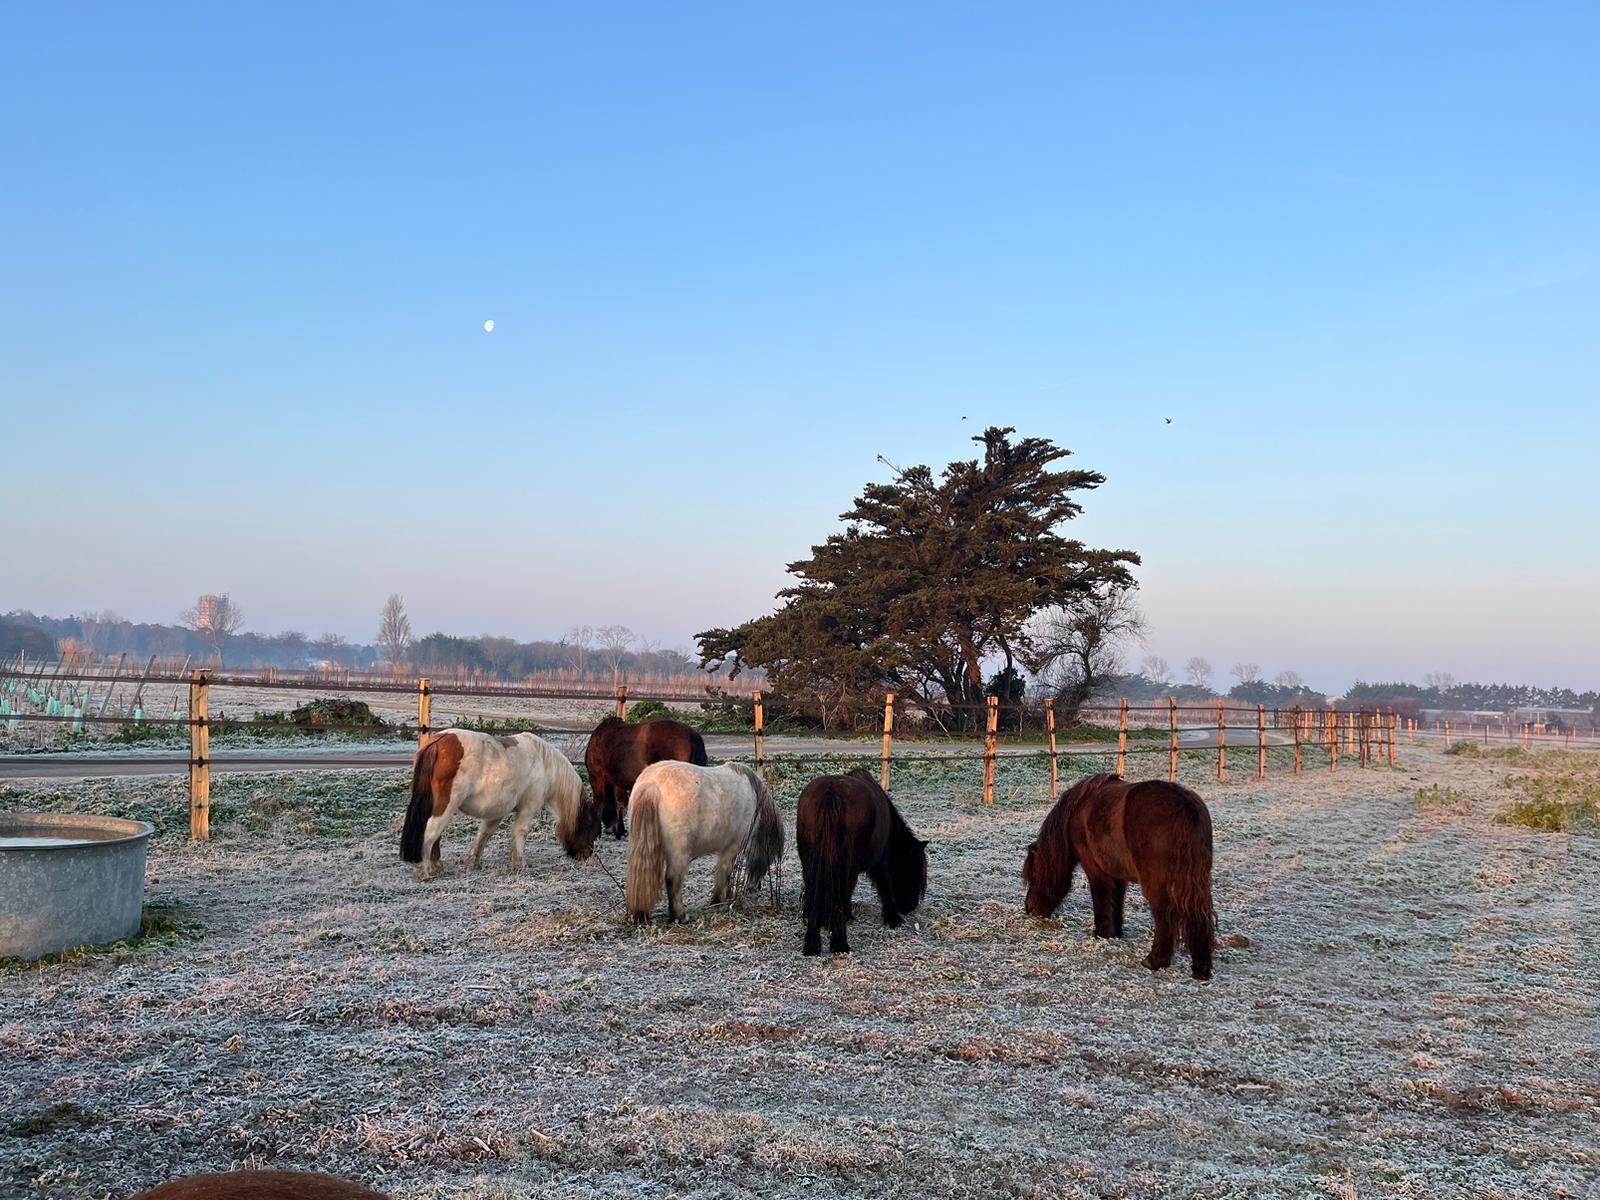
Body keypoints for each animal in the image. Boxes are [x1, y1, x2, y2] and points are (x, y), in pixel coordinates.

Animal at [400, 729, 599, 879]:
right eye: (590, 828)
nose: (587, 855)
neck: (544, 763)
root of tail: (439, 742)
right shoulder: (528, 808)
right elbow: (520, 832)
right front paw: (519, 864)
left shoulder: (496, 813)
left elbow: (484, 835)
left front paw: (473, 862)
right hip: (445, 806)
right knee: (430, 833)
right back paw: (423, 871)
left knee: (436, 834)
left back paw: (436, 866)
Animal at [625, 761, 783, 923]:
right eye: (769, 856)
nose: (755, 887)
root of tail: (652, 784)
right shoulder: (732, 847)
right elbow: (725, 871)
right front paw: (719, 902)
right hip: (679, 853)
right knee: (673, 879)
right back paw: (680, 917)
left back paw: (642, 915)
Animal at [796, 768, 928, 956]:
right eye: (915, 870)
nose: (910, 907)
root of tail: (831, 792)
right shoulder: (881, 861)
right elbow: (885, 884)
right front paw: (893, 918)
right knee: (842, 893)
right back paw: (840, 943)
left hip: (810, 864)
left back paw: (812, 944)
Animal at [1023, 773, 1216, 980]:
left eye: (1034, 873)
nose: (1030, 908)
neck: (1077, 810)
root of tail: (1185, 806)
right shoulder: (1118, 873)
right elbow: (1117, 900)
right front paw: (1115, 933)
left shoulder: (1095, 869)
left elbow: (1101, 897)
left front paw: (1102, 933)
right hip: (1198, 881)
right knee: (1200, 914)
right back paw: (1201, 968)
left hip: (1157, 885)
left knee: (1164, 915)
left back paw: (1155, 960)